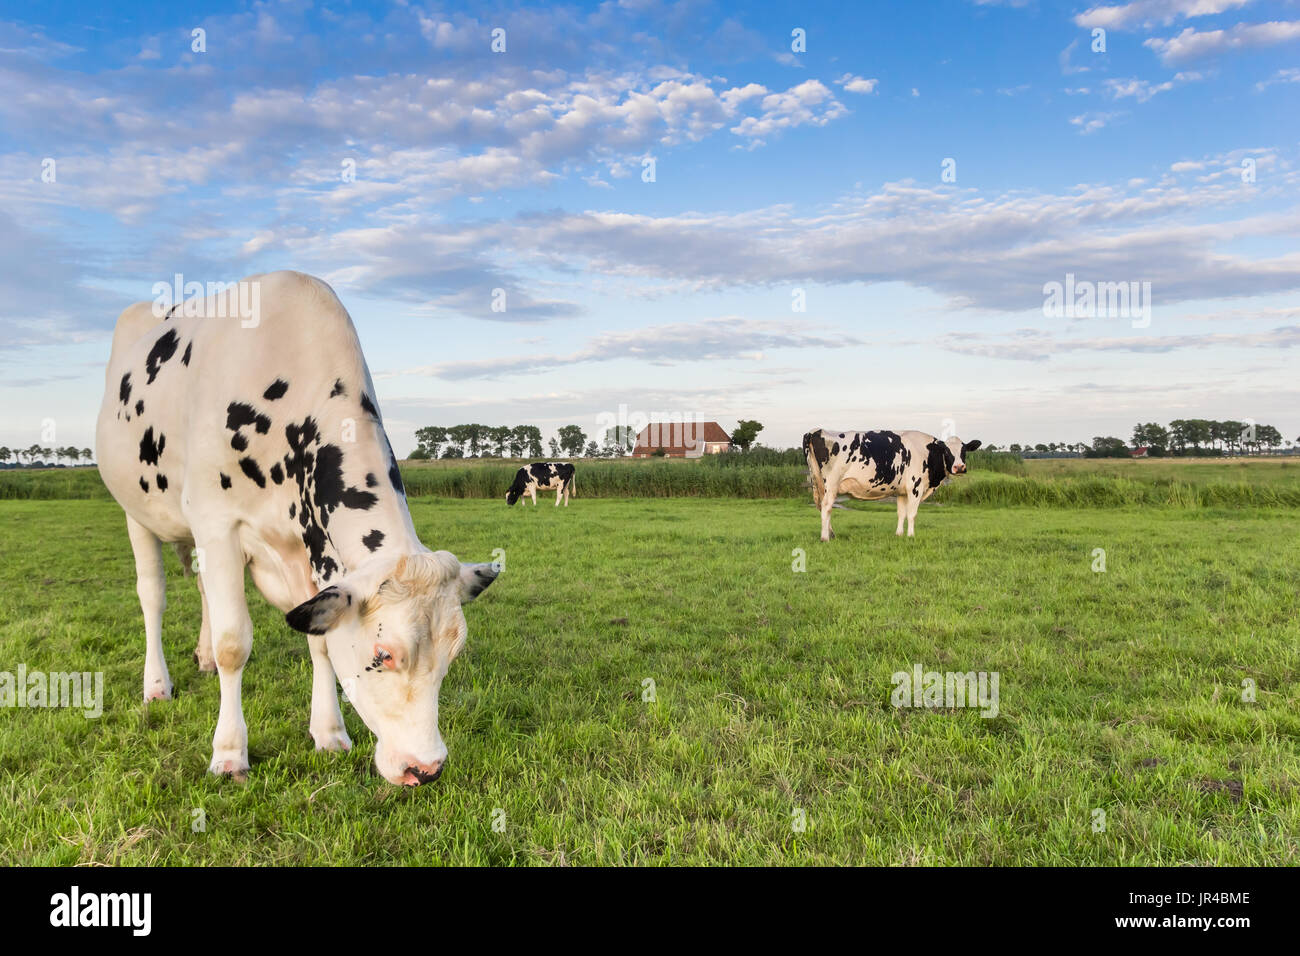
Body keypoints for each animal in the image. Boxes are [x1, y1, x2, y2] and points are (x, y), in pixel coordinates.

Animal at [95, 270, 499, 785]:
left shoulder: (314, 548)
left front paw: (329, 733)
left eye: (453, 654)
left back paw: (201, 658)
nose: (425, 768)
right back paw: (157, 684)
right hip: (135, 511)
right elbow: (233, 643)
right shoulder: (217, 522)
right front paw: (229, 753)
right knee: (152, 596)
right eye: (384, 653)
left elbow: (321, 643)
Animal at [803, 429, 981, 541]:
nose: (959, 467)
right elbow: (912, 514)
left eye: (964, 451)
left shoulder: (902, 492)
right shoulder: (915, 487)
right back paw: (825, 537)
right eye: (946, 451)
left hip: (819, 483)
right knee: (826, 507)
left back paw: (831, 534)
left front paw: (899, 534)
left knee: (822, 507)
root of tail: (816, 431)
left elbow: (901, 513)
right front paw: (911, 536)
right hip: (831, 484)